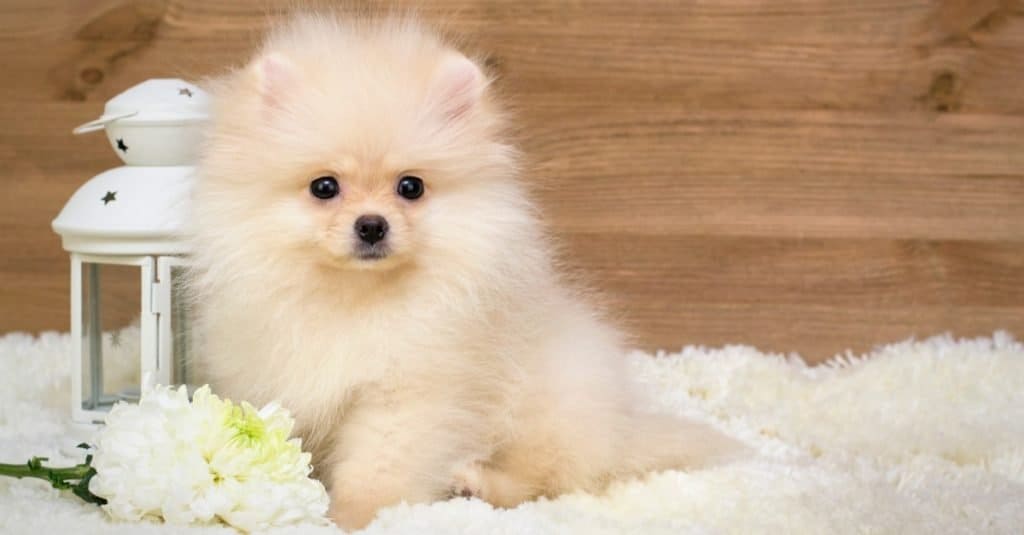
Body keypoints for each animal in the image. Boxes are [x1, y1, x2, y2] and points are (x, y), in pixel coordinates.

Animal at [188, 12, 745, 528]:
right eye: (324, 187)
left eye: (410, 187)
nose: (372, 225)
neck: (356, 296)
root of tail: (622, 431)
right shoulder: (279, 378)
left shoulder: (408, 395)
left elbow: (378, 467)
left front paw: (354, 516)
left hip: (549, 403)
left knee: (542, 478)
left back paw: (475, 484)